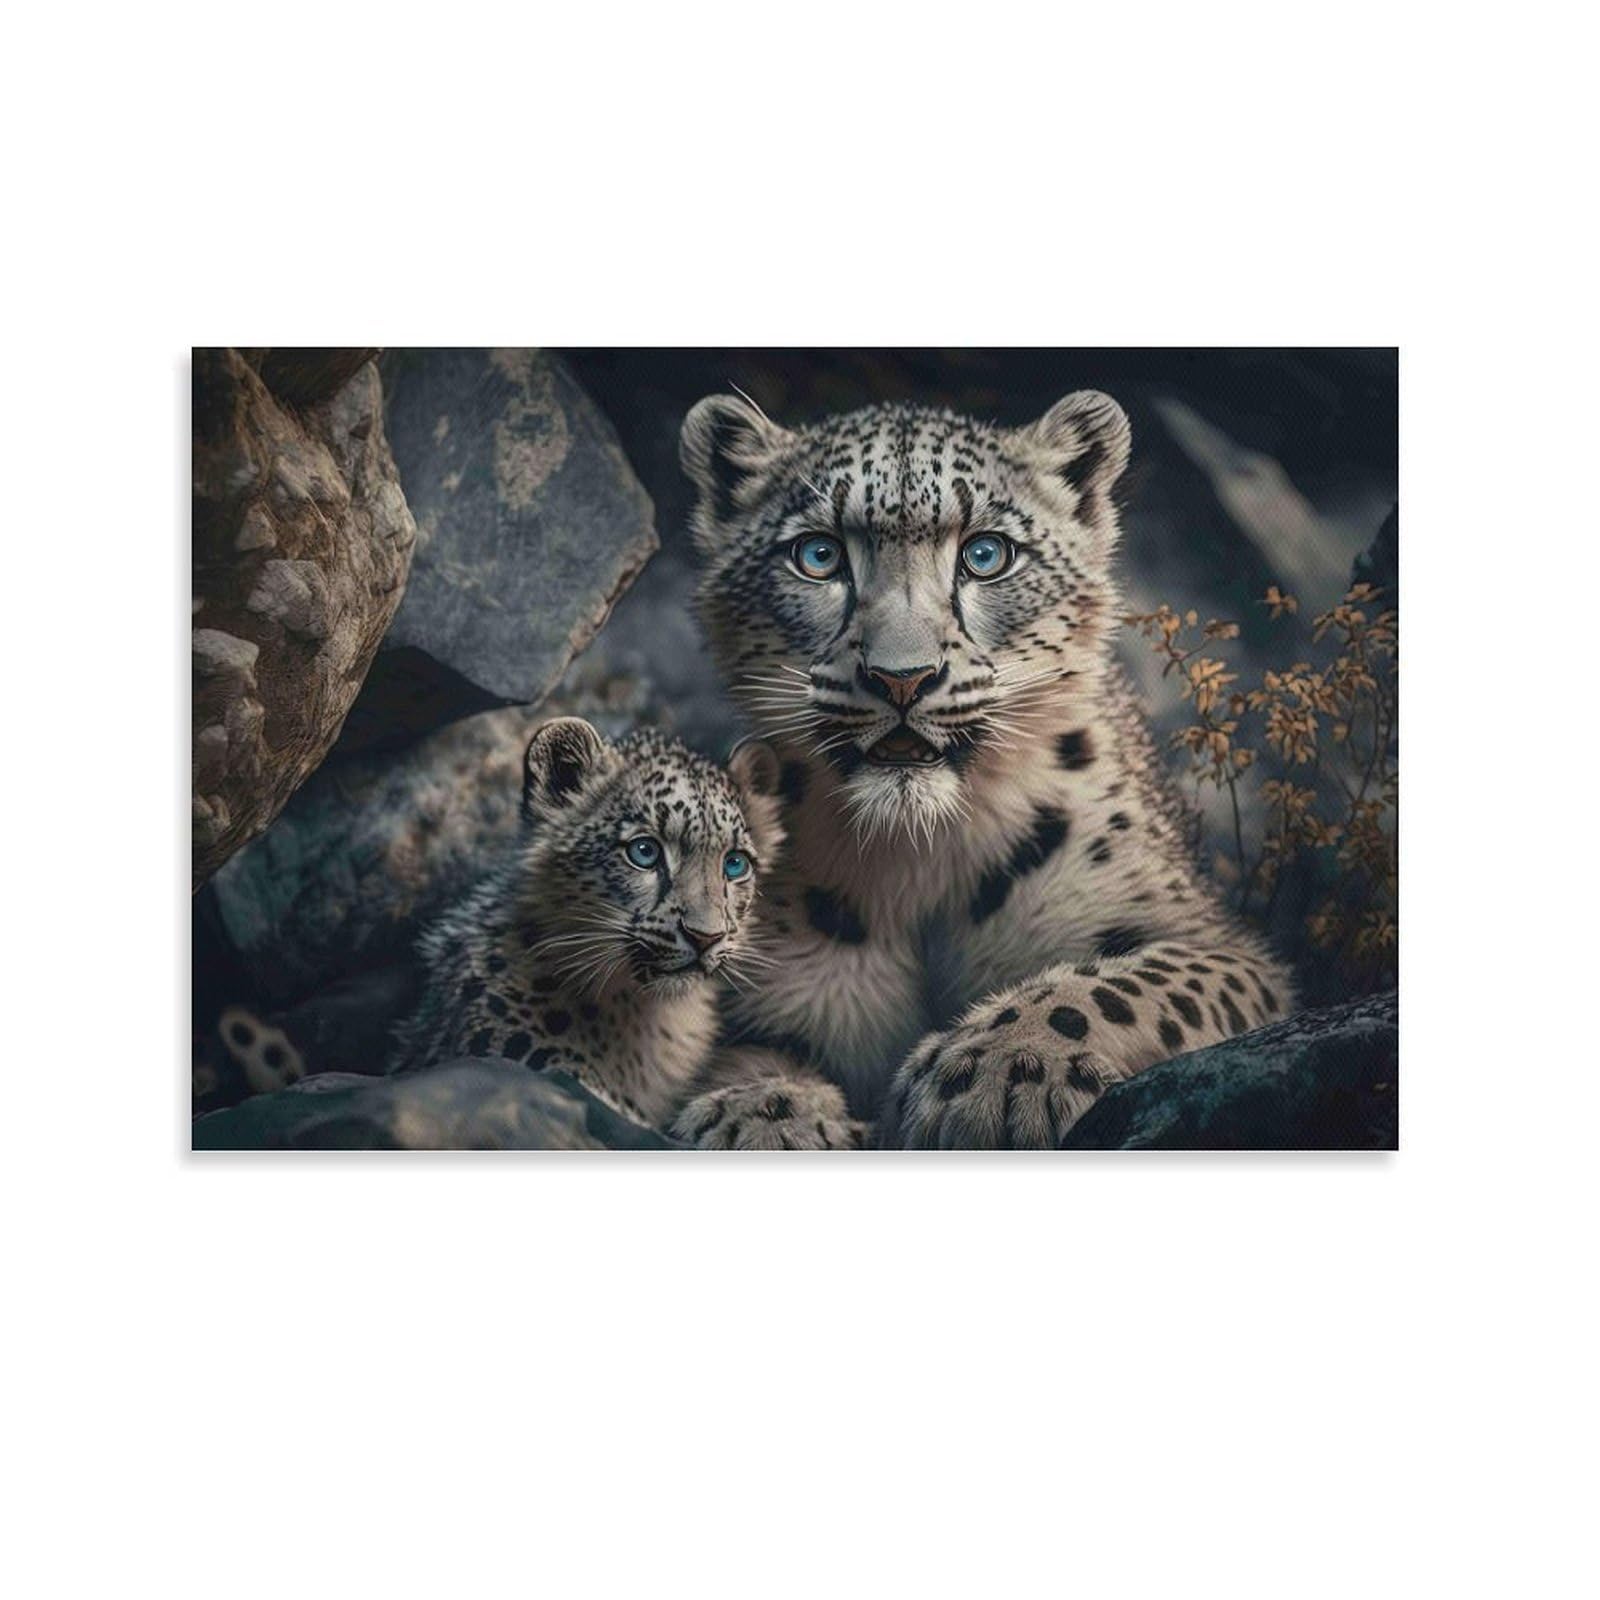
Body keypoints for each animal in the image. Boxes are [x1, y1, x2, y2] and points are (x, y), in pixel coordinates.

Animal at [669, 388, 1295, 1150]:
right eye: (818, 555)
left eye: (986, 554)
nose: (901, 678)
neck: (920, 861)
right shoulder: (766, 994)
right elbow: (748, 1053)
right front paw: (759, 1115)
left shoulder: (1211, 942)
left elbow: (1118, 982)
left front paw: (999, 1068)